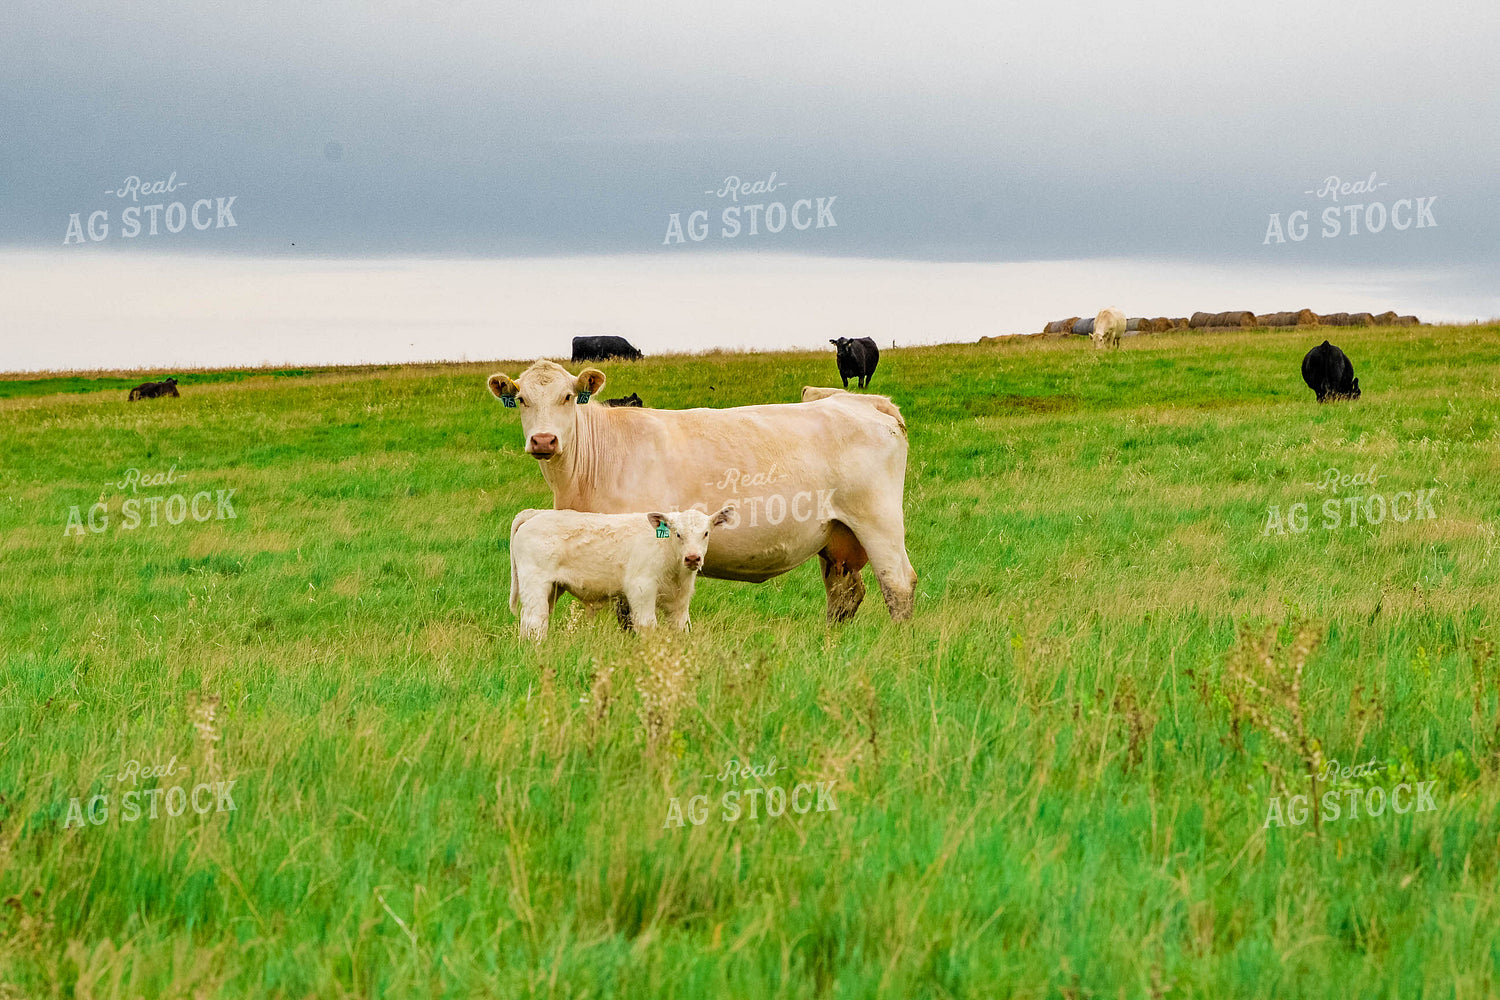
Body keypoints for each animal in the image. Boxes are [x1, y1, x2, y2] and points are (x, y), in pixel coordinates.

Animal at [486, 361, 917, 622]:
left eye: (568, 397)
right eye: (521, 399)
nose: (544, 440)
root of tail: (861, 401)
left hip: (879, 522)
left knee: (898, 585)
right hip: (838, 539)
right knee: (844, 594)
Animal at [509, 505, 733, 639]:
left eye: (706, 533)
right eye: (678, 534)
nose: (693, 558)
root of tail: (536, 513)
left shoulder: (680, 600)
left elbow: (681, 627)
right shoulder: (641, 589)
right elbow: (647, 624)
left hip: (553, 588)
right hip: (535, 584)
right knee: (535, 620)